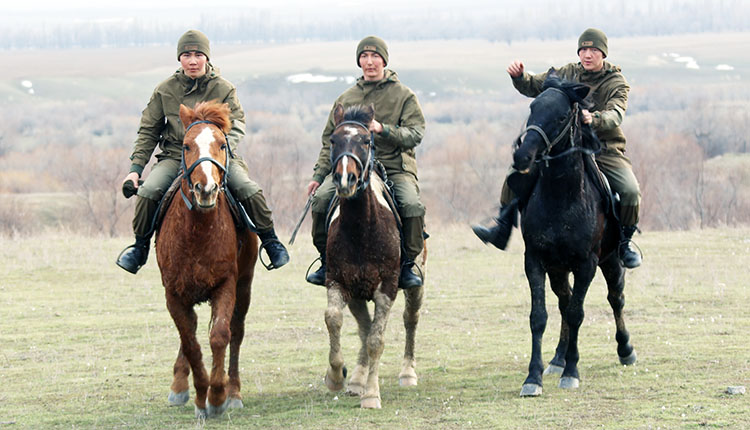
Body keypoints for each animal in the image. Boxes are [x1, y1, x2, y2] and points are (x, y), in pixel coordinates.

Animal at [155, 100, 258, 416]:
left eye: (222, 145)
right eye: (186, 146)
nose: (207, 189)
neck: (196, 232)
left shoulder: (226, 286)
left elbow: (220, 336)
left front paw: (217, 396)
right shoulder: (173, 294)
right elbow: (190, 342)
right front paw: (200, 396)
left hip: (245, 285)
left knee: (236, 332)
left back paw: (233, 391)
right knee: (189, 330)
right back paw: (179, 386)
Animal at [324, 104, 428, 410]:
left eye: (366, 141)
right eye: (333, 140)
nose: (345, 179)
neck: (361, 230)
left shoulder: (387, 288)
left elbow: (376, 341)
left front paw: (371, 395)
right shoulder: (339, 281)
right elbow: (335, 319)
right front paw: (337, 375)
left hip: (415, 286)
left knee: (410, 319)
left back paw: (407, 372)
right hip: (357, 293)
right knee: (364, 326)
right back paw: (357, 378)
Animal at [512, 73, 640, 396]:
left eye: (560, 117)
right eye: (532, 108)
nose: (522, 156)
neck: (562, 198)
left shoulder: (587, 264)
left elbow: (577, 313)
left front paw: (572, 371)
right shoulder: (535, 261)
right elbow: (539, 316)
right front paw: (533, 377)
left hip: (611, 262)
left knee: (615, 299)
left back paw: (625, 349)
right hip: (558, 269)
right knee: (563, 301)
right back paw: (558, 357)